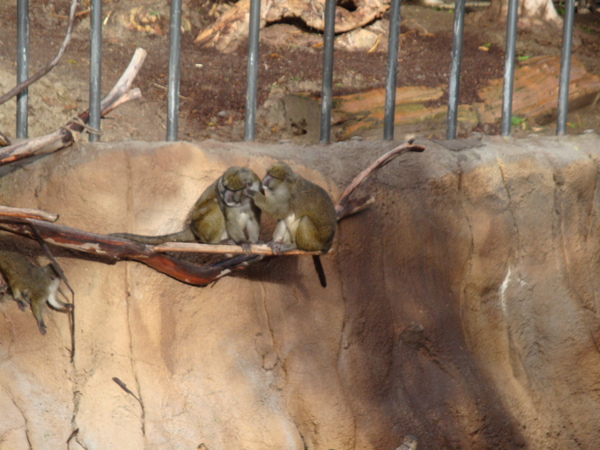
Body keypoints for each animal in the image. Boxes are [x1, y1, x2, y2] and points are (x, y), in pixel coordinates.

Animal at [112, 166, 262, 253]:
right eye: (224, 188)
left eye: (231, 191)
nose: (224, 195)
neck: (243, 200)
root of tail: (190, 226)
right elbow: (229, 219)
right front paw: (243, 242)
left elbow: (253, 219)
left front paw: (255, 242)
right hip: (200, 226)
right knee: (214, 205)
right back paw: (214, 243)